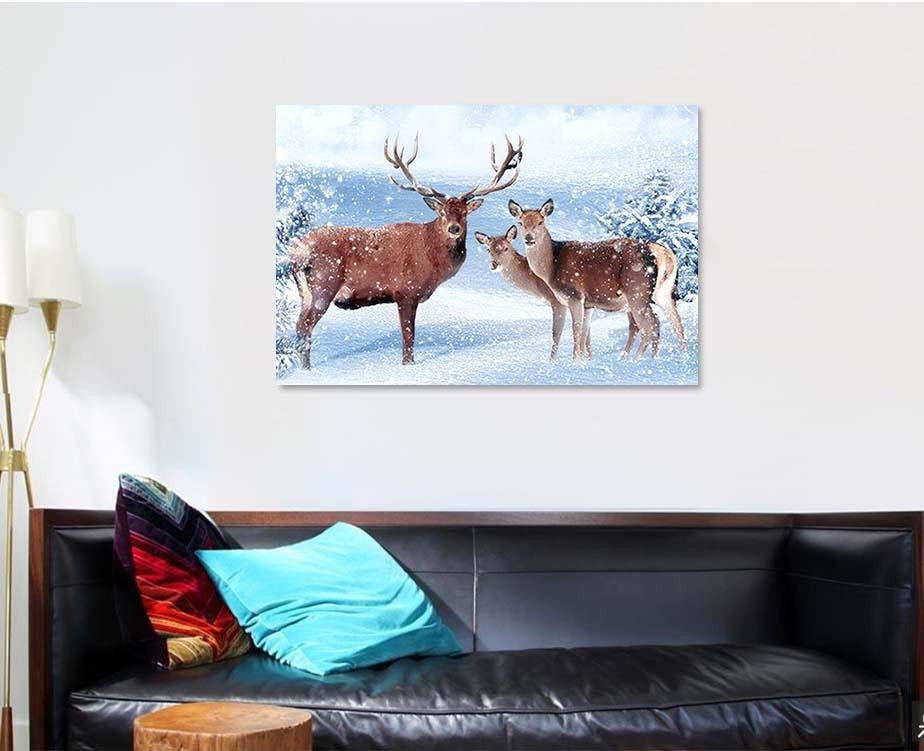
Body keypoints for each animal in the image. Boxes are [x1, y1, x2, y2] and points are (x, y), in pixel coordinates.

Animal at [288, 134, 524, 367]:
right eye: (442, 213)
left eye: (464, 213)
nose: (454, 228)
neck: (433, 261)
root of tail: (296, 252)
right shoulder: (406, 291)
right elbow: (408, 339)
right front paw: (408, 365)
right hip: (324, 284)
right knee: (305, 327)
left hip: (305, 292)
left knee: (299, 326)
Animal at [474, 225, 567, 360]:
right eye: (488, 249)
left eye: (506, 248)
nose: (493, 265)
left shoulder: (558, 301)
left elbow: (556, 333)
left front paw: (552, 361)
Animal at [508, 198, 675, 361]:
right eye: (520, 223)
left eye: (540, 222)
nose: (529, 239)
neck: (551, 268)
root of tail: (652, 255)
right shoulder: (588, 304)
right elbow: (584, 334)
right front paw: (583, 361)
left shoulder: (574, 295)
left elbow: (575, 330)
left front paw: (574, 361)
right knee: (654, 323)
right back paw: (652, 358)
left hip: (637, 291)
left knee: (651, 324)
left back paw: (636, 360)